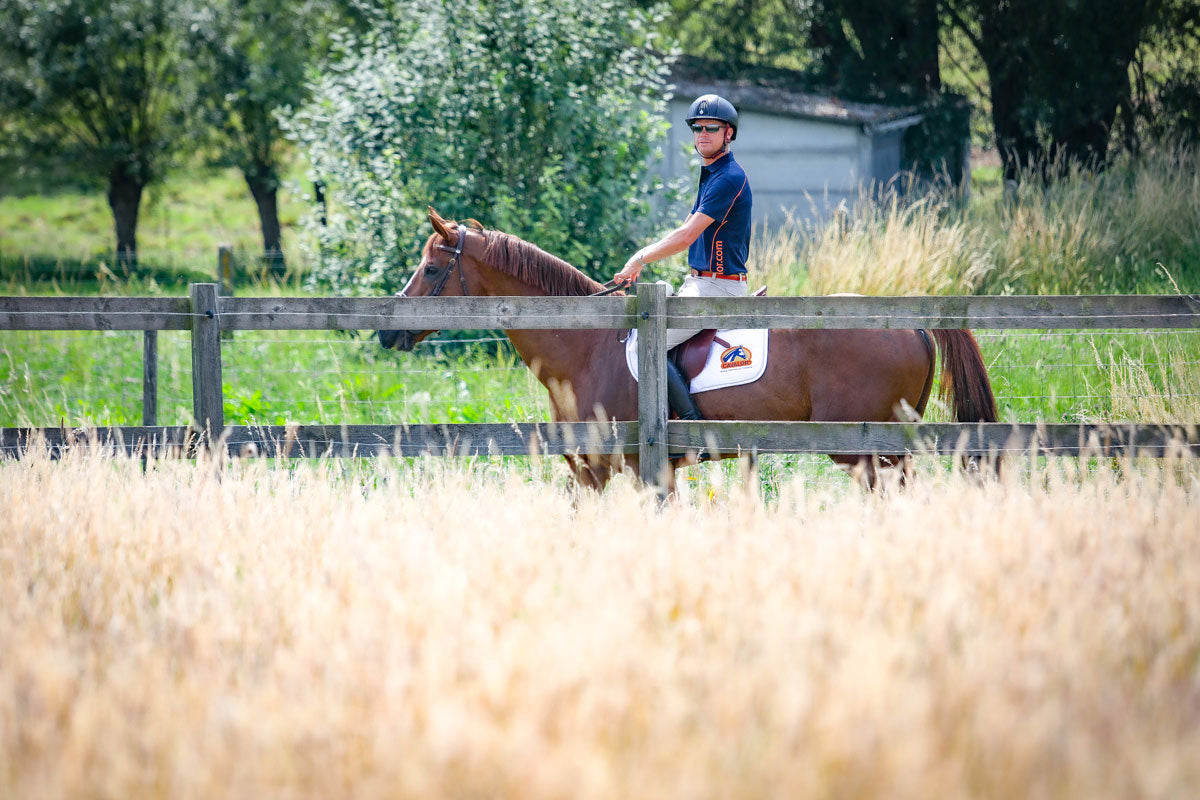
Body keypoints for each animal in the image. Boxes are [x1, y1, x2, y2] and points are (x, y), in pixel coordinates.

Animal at [379, 209, 998, 491]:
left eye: (431, 269)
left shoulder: (630, 467)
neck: (583, 347)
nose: (389, 333)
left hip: (869, 453)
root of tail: (912, 325)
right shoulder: (592, 472)